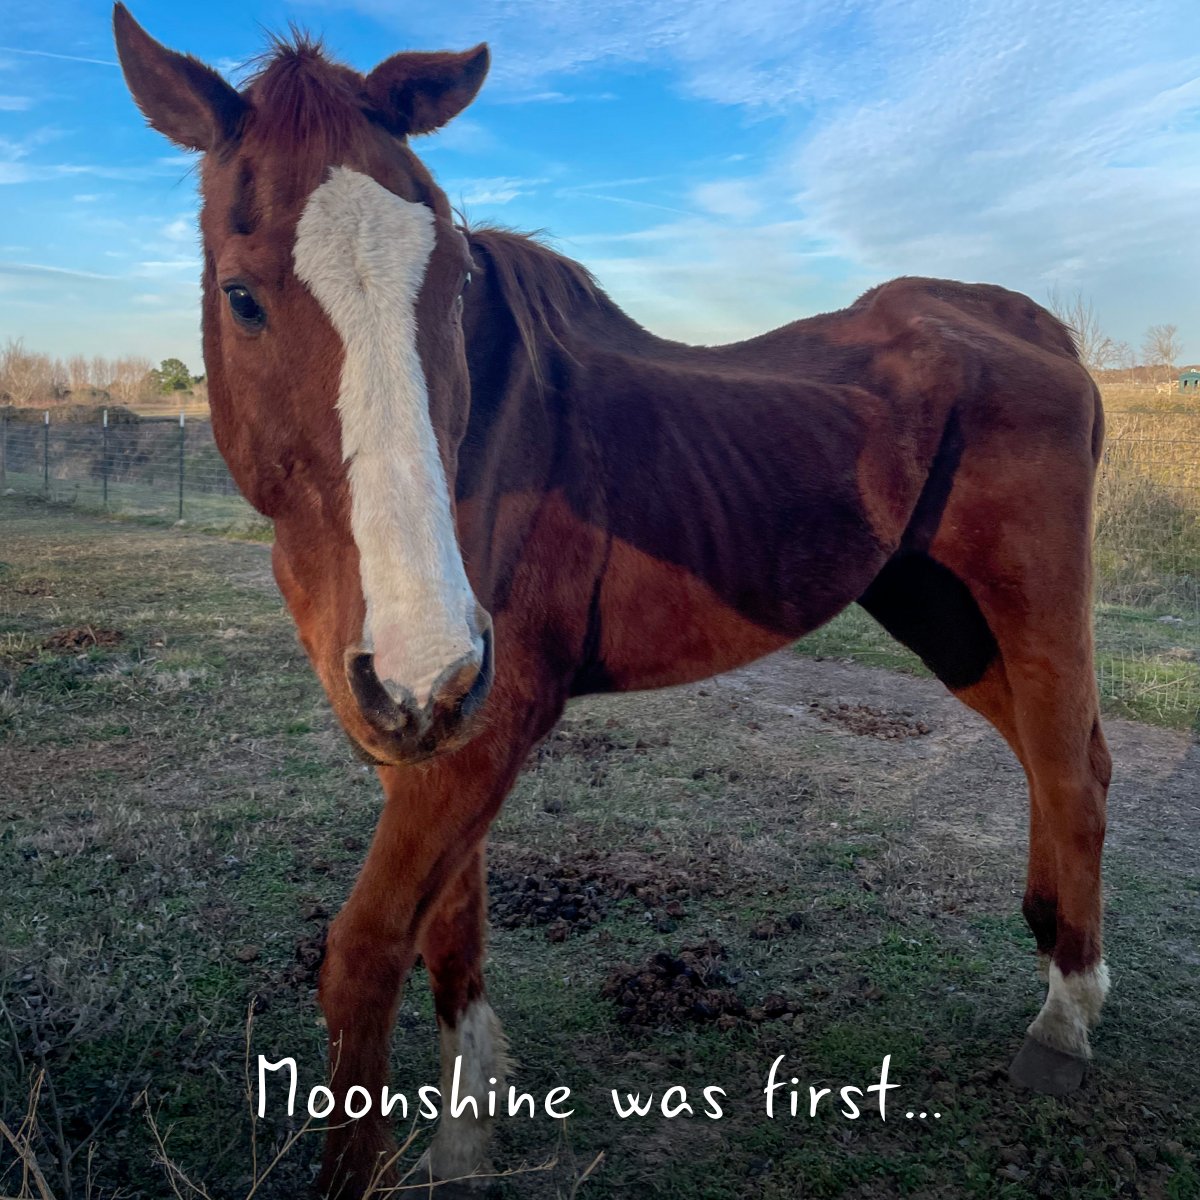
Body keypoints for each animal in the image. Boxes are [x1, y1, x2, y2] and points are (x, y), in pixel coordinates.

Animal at [114, 7, 1111, 1196]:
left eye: (452, 284)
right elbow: (454, 925)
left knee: (1072, 773)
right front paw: (468, 1134)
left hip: (1028, 610)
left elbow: (365, 955)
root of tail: (1036, 329)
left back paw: (1064, 1024)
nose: (414, 651)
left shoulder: (490, 710)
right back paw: (1061, 964)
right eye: (242, 295)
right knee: (1060, 764)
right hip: (946, 620)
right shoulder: (441, 718)